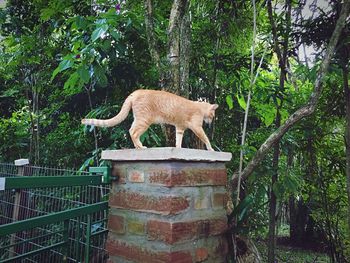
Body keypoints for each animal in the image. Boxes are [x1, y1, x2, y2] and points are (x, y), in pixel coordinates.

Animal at [82, 89, 219, 151]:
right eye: (212, 116)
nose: (210, 123)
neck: (200, 107)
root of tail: (136, 92)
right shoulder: (197, 127)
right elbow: (206, 138)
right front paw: (211, 149)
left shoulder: (180, 128)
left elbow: (178, 140)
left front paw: (178, 148)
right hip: (144, 121)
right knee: (133, 132)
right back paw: (140, 147)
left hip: (139, 120)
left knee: (131, 130)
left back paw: (138, 147)